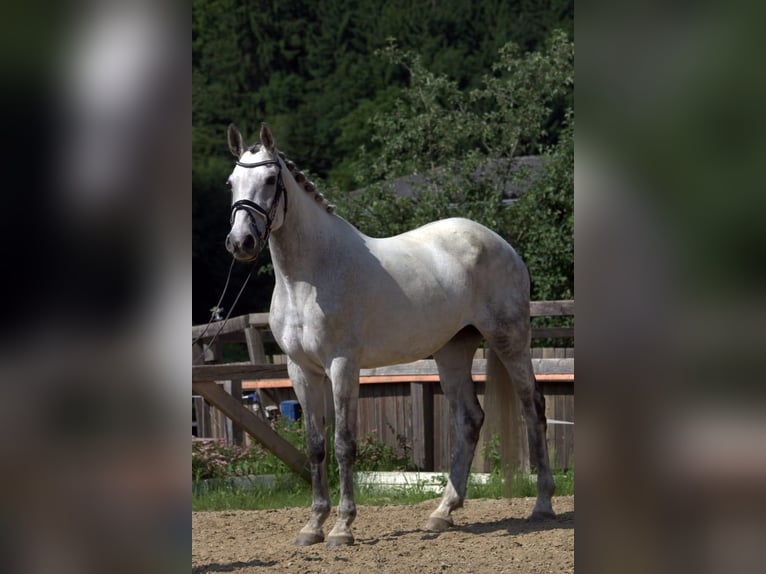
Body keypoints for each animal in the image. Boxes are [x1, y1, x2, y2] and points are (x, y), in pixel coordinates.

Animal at [223, 123, 556, 546]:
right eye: (231, 182)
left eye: (269, 179)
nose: (241, 242)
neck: (311, 275)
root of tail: (501, 244)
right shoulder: (301, 370)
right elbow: (315, 446)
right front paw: (312, 526)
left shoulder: (342, 365)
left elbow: (343, 444)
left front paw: (343, 528)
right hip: (452, 350)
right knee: (469, 419)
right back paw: (442, 513)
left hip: (510, 340)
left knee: (533, 408)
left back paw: (542, 505)